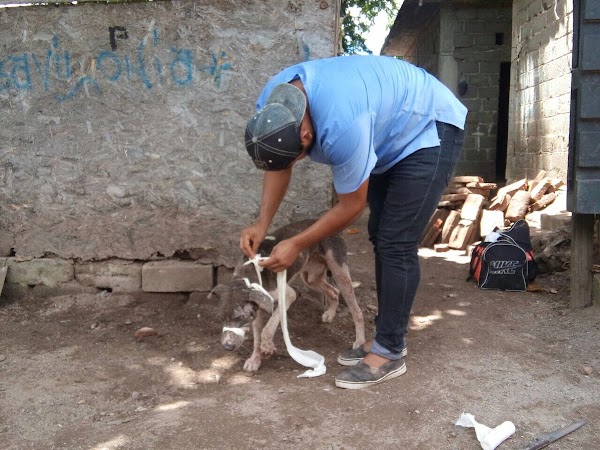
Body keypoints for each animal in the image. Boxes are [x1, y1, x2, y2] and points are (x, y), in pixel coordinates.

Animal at [211, 220, 366, 370]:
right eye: (220, 318)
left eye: (240, 318)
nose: (227, 347)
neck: (249, 275)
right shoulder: (257, 309)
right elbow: (257, 337)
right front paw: (255, 360)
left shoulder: (288, 295)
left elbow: (268, 328)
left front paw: (267, 346)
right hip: (310, 278)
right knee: (334, 291)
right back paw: (330, 314)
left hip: (339, 272)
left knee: (356, 310)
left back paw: (359, 341)